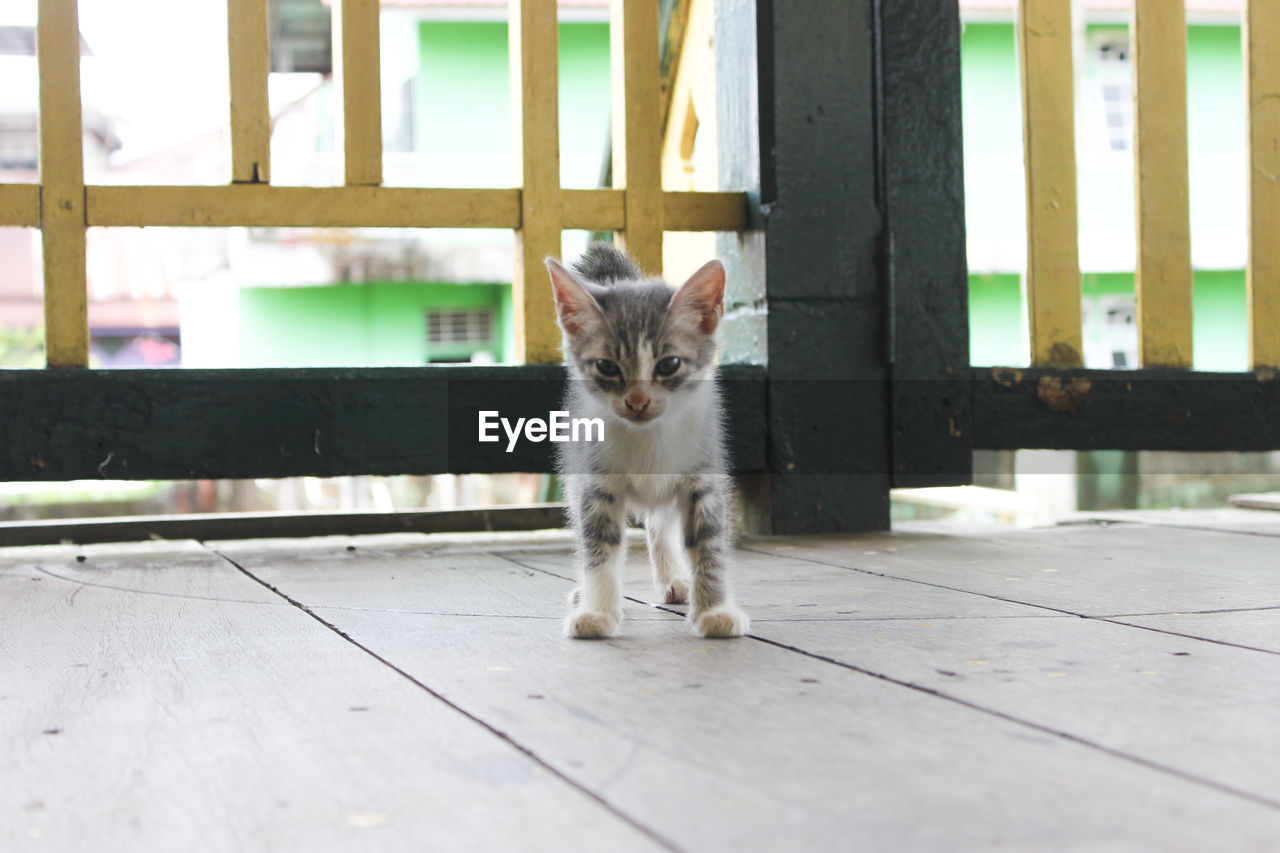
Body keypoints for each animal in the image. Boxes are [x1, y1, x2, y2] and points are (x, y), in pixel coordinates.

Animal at [542, 240, 747, 637]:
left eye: (669, 364)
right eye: (607, 367)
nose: (638, 401)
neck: (648, 437)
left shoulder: (704, 475)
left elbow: (708, 543)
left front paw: (714, 610)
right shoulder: (596, 480)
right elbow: (598, 546)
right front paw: (598, 611)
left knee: (659, 526)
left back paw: (675, 580)